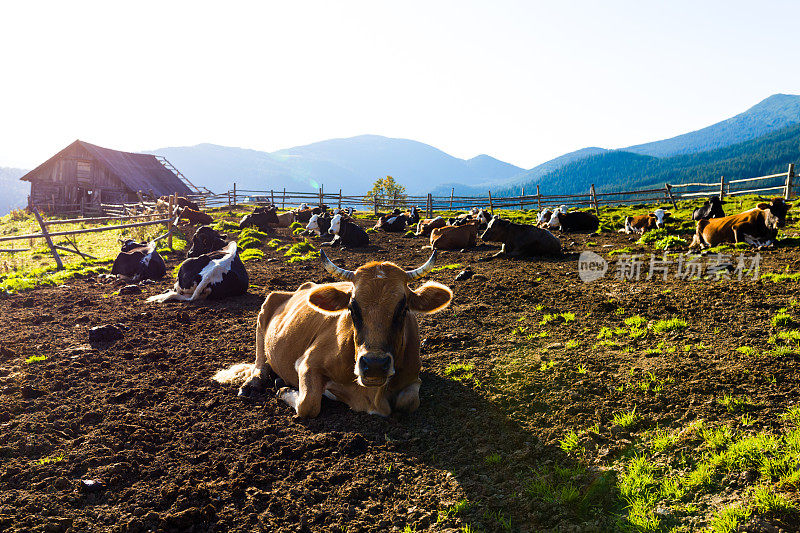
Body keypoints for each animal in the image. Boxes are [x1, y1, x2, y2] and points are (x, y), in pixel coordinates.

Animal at [212, 249, 454, 416]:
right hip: (264, 313)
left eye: (403, 309)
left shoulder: (414, 377)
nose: (374, 365)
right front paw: (285, 390)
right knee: (260, 362)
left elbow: (409, 402)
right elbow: (308, 403)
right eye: (352, 308)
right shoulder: (307, 362)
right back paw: (252, 384)